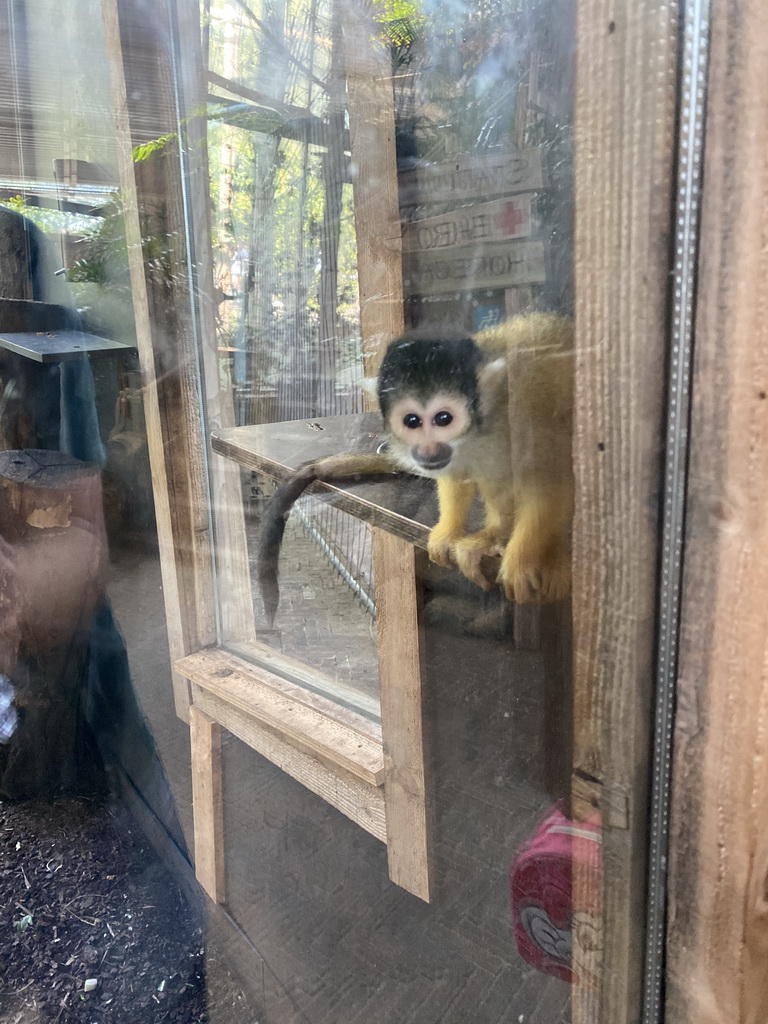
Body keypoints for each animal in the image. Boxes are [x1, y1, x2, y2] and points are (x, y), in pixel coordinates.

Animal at [259, 311, 573, 618]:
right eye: (412, 421)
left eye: (444, 419)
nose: (427, 450)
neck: (487, 422)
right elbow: (456, 474)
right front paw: (449, 532)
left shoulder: (529, 414)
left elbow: (551, 479)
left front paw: (523, 558)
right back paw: (498, 531)